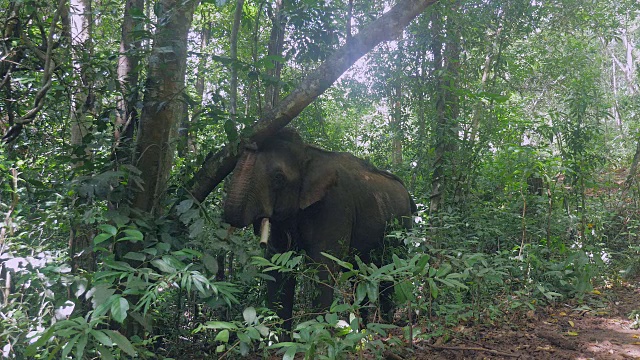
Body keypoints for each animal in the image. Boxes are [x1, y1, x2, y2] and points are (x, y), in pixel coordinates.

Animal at [222, 128, 418, 336]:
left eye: (278, 178)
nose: (249, 142)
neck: (308, 153)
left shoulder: (334, 205)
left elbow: (322, 264)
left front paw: (321, 337)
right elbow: (276, 266)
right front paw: (281, 340)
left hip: (402, 227)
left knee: (391, 269)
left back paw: (385, 326)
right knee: (360, 274)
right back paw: (365, 329)